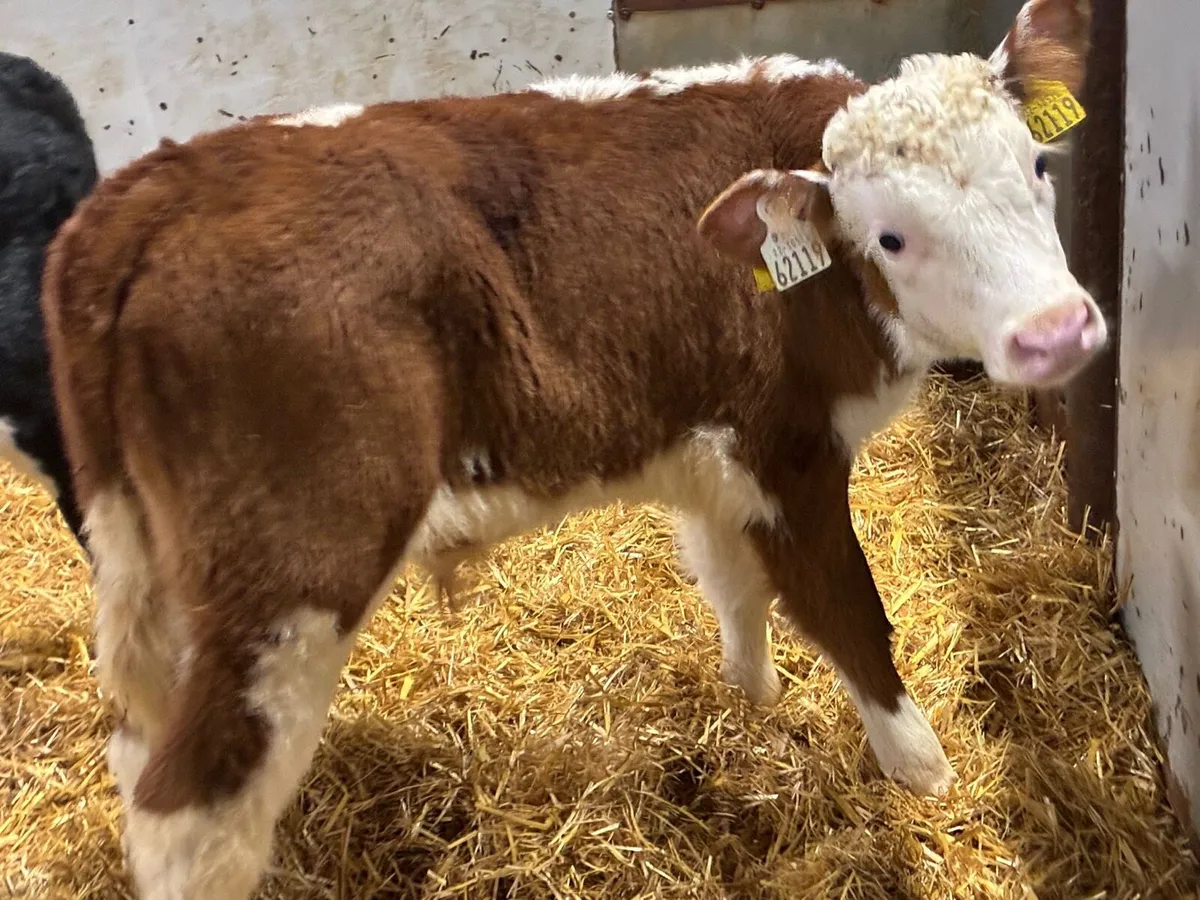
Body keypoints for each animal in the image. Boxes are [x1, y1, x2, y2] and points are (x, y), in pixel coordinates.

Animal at [40, 0, 1097, 895]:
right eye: (890, 237)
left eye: (1040, 170)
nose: (1057, 332)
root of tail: (144, 193)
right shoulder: (788, 452)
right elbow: (849, 614)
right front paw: (928, 778)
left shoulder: (710, 449)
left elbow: (734, 587)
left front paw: (750, 702)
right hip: (291, 571)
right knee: (188, 807)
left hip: (155, 565)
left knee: (137, 750)